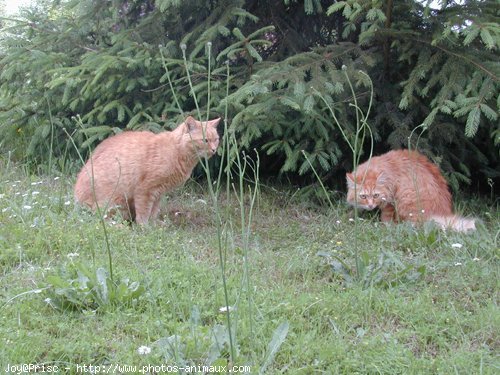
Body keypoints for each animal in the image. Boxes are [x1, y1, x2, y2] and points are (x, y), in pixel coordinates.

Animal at [74, 116, 221, 225]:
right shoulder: (145, 190)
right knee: (103, 219)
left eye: (216, 139)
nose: (214, 150)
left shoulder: (158, 193)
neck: (176, 151)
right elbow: (144, 213)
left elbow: (153, 212)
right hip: (114, 201)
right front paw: (144, 227)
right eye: (205, 140)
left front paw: (154, 225)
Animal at [346, 150, 474, 232]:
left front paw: (386, 225)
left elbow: (386, 216)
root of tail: (441, 214)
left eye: (376, 195)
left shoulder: (390, 201)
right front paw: (351, 215)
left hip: (407, 197)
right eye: (363, 196)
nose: (371, 205)